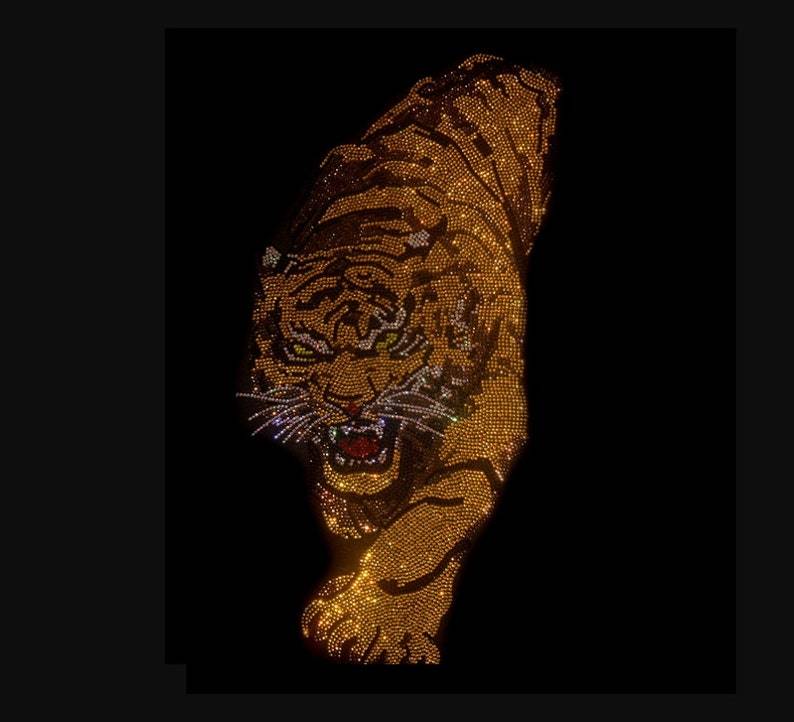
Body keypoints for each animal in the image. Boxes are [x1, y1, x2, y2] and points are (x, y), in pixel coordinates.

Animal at [238, 54, 559, 664]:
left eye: (389, 341)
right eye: (304, 347)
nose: (348, 404)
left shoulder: (487, 405)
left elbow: (434, 514)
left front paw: (369, 624)